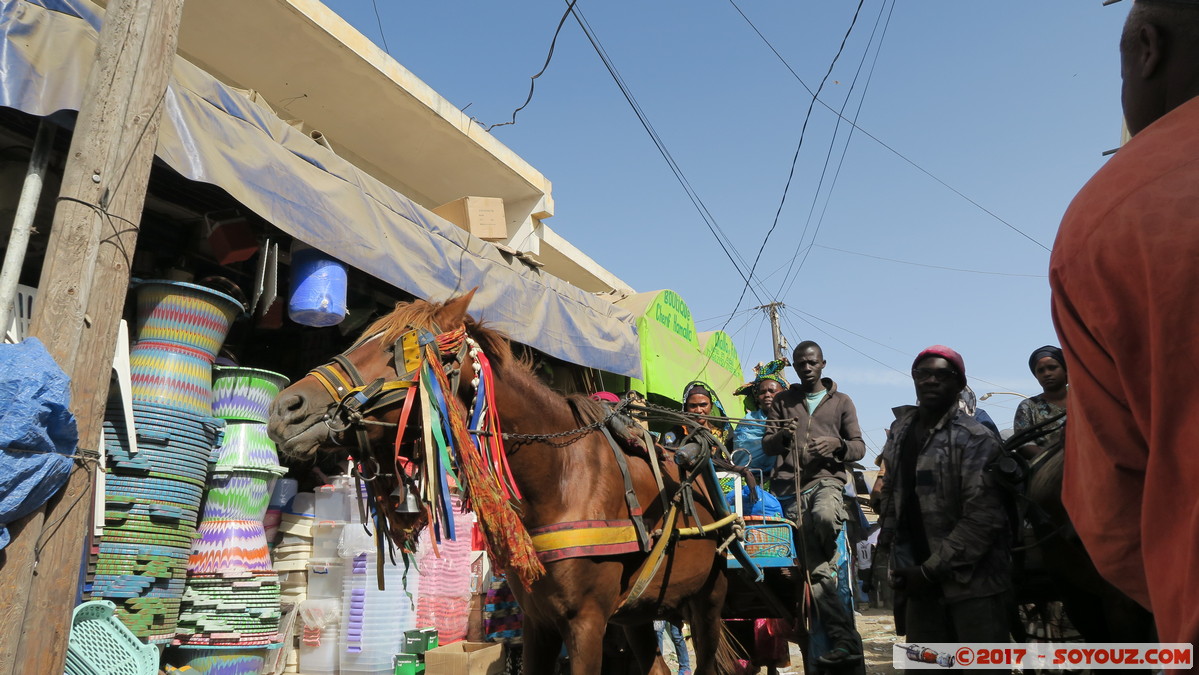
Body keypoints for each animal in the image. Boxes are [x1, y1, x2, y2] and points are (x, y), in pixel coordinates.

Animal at [270, 294, 733, 675]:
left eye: (398, 349)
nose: (284, 408)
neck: (560, 478)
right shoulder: (539, 621)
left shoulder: (586, 622)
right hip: (638, 613)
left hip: (708, 600)